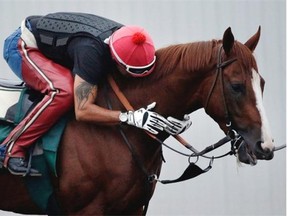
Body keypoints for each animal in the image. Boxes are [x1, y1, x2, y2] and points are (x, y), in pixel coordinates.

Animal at [0, 26, 276, 214]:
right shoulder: (84, 209)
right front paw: (142, 117)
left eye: (262, 83)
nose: (266, 145)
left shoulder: (134, 207)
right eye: (237, 86)